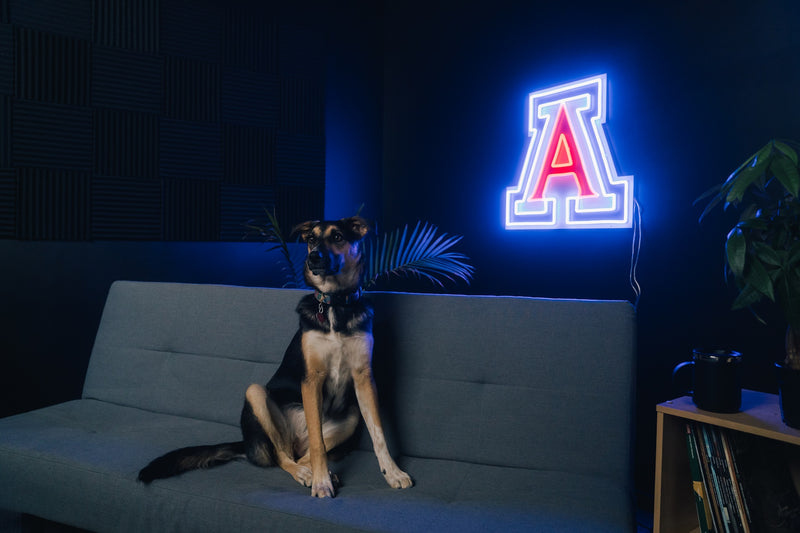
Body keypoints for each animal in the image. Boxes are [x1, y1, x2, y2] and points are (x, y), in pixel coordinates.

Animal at [138, 214, 412, 496]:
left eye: (337, 237)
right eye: (311, 238)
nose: (313, 257)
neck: (335, 304)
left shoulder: (364, 378)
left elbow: (378, 434)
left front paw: (392, 472)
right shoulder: (312, 379)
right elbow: (318, 443)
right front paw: (321, 482)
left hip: (351, 418)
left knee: (303, 453)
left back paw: (321, 472)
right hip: (256, 394)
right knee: (285, 454)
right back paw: (307, 473)